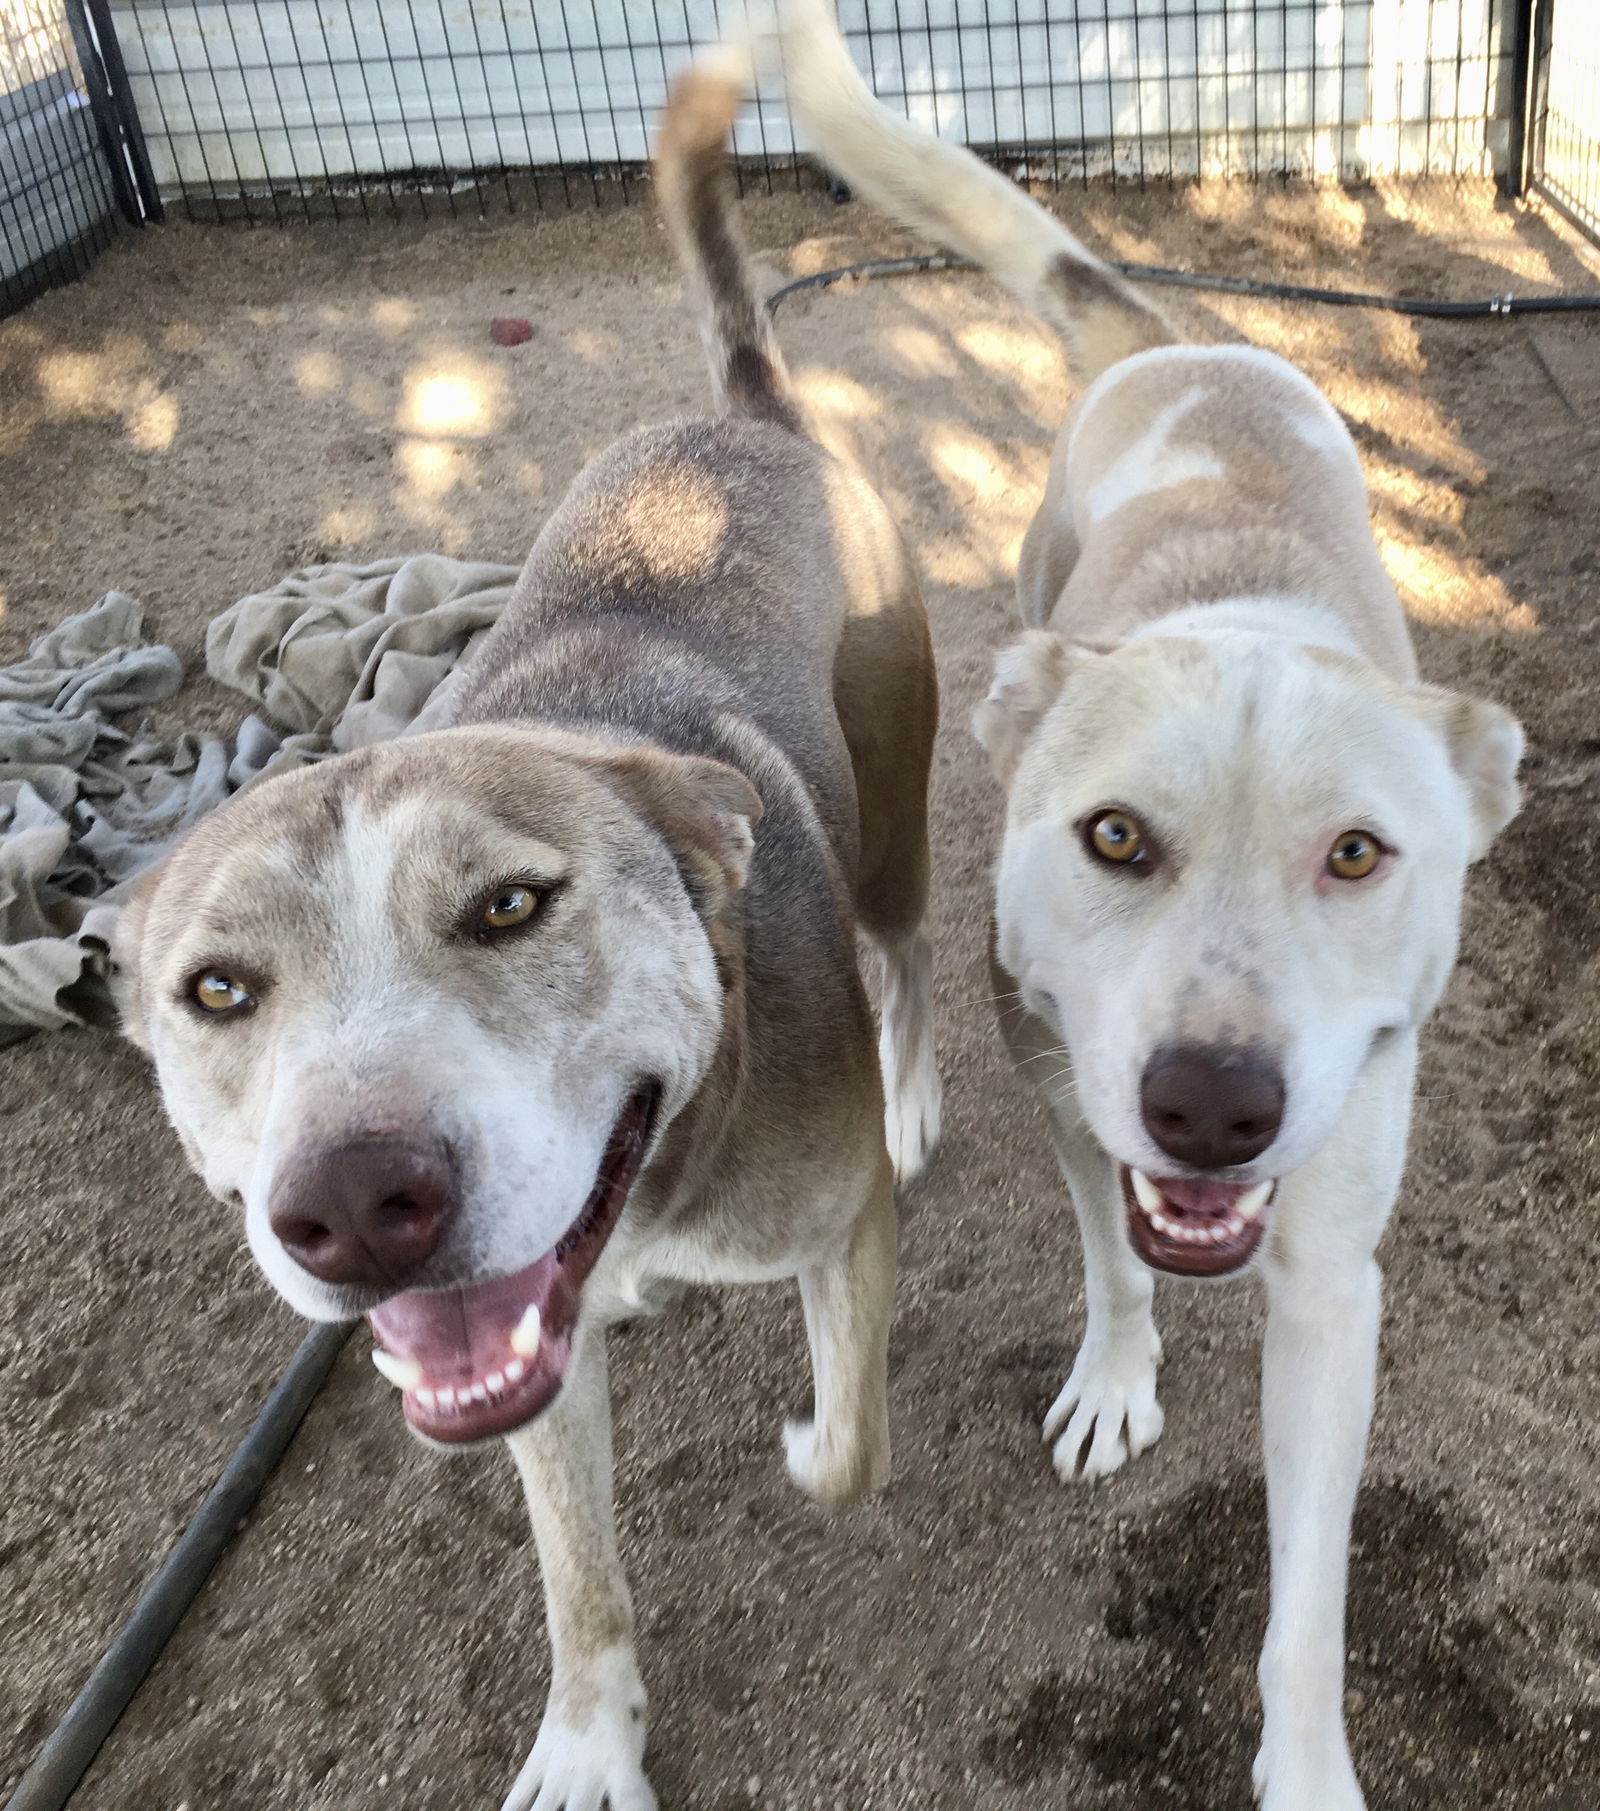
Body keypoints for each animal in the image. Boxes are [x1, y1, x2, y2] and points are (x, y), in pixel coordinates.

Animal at [779, 7, 1529, 1803]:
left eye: (1357, 855)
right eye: (1114, 837)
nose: (1210, 1106)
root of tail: (1189, 350)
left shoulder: (1330, 1286)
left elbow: (1311, 1593)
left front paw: (1309, 1763)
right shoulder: (1068, 1089)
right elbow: (1113, 1265)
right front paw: (1117, 1380)